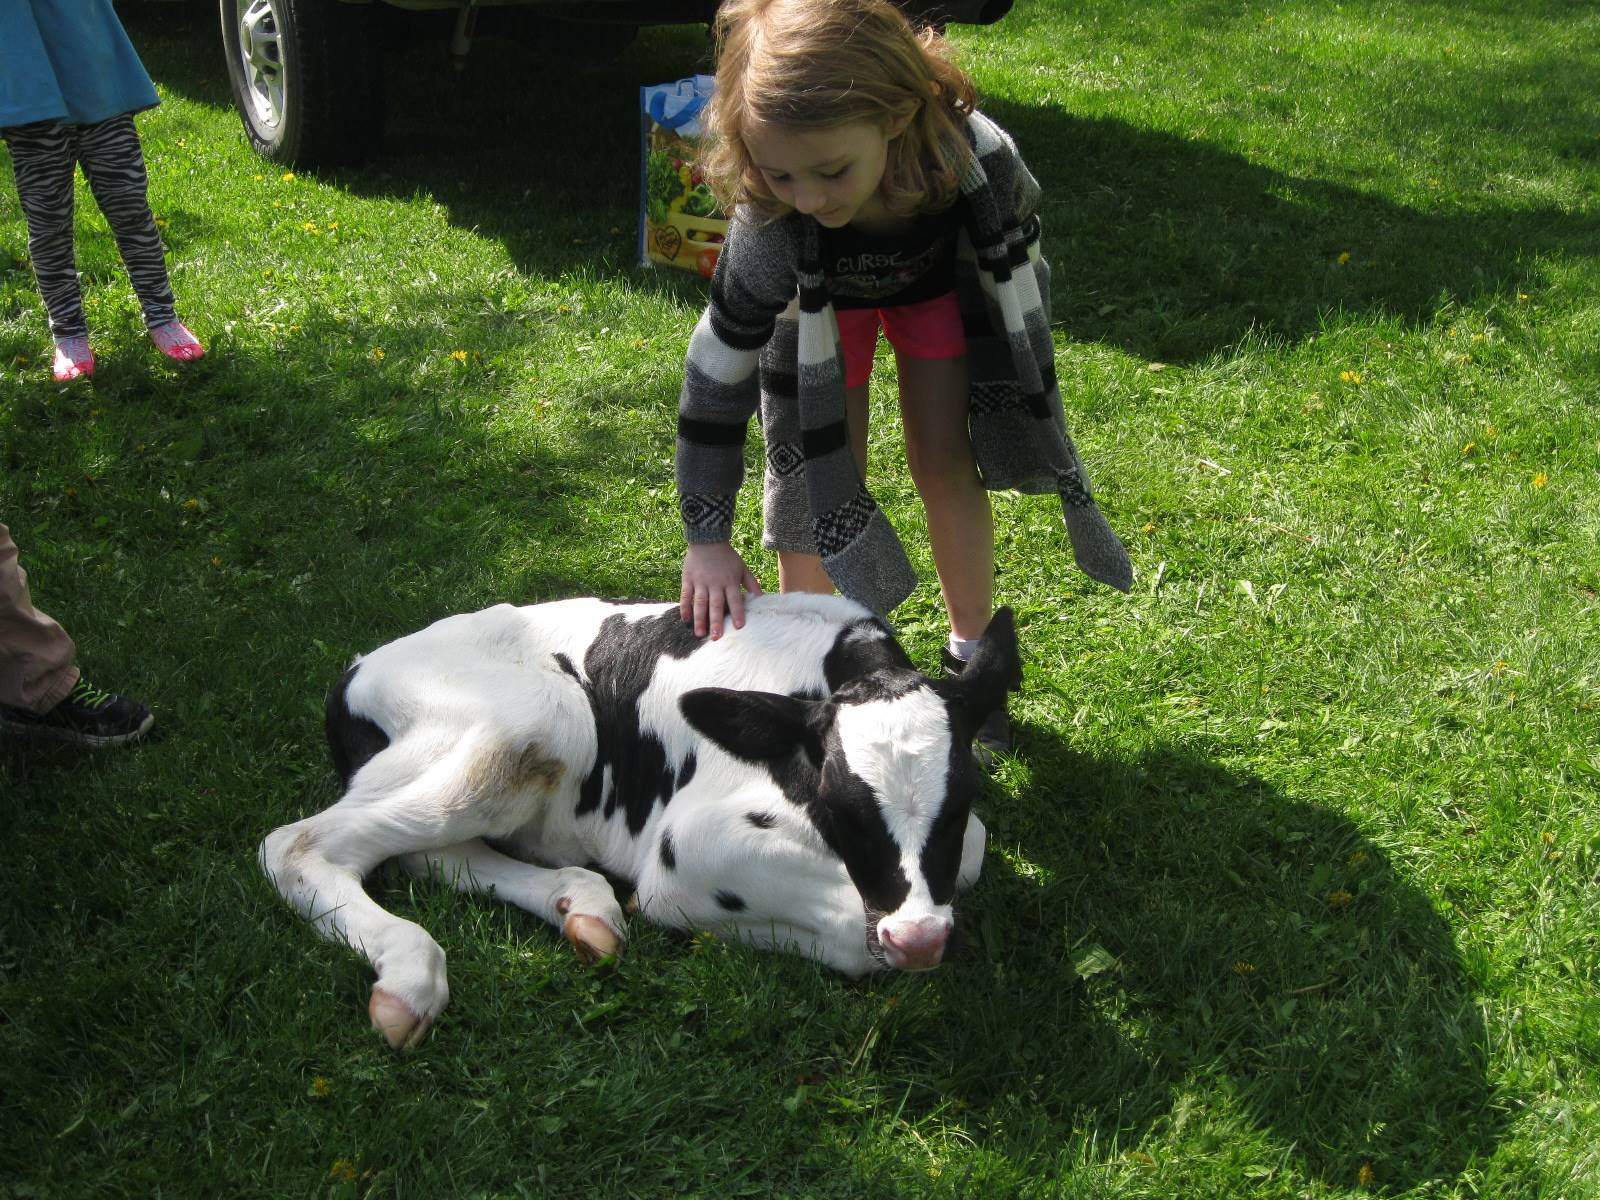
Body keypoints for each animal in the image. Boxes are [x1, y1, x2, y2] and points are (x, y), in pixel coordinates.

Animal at [257, 598, 1017, 1049]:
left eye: (959, 800)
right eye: (842, 808)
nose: (919, 939)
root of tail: (357, 667)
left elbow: (971, 854)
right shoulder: (689, 849)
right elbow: (857, 942)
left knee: (426, 853)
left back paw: (583, 906)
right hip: (540, 716)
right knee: (294, 843)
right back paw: (409, 975)